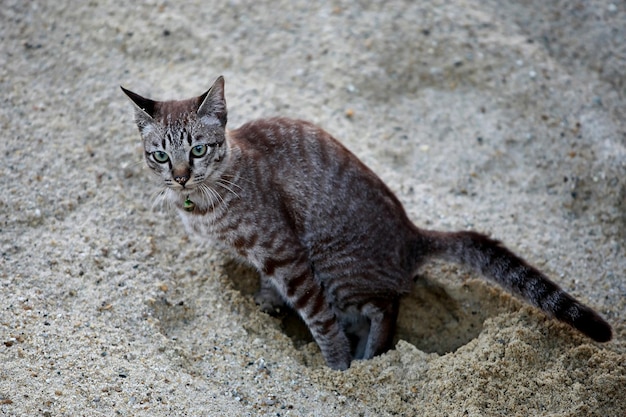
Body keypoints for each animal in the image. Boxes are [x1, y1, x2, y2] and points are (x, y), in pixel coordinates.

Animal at [120, 76, 608, 368]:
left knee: (385, 307)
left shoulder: (286, 254)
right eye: (160, 155)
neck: (208, 197)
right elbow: (270, 287)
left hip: (337, 267)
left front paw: (337, 365)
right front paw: (265, 304)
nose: (180, 175)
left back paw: (370, 357)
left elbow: (320, 320)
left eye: (198, 149)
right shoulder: (268, 260)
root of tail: (413, 235)